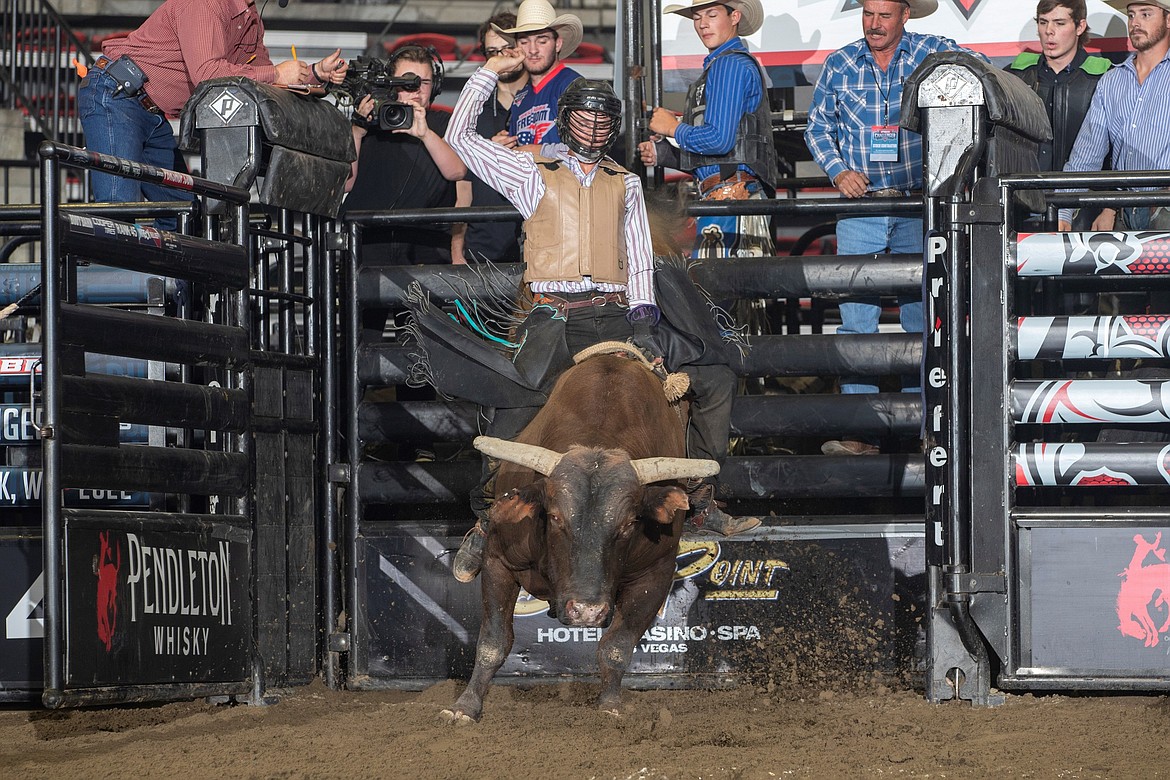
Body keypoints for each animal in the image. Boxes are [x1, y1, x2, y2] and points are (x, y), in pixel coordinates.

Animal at [437, 353, 711, 725]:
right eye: (555, 517)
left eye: (629, 523)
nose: (586, 611)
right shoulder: (498, 561)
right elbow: (493, 641)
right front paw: (465, 707)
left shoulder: (656, 572)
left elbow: (616, 646)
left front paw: (609, 705)